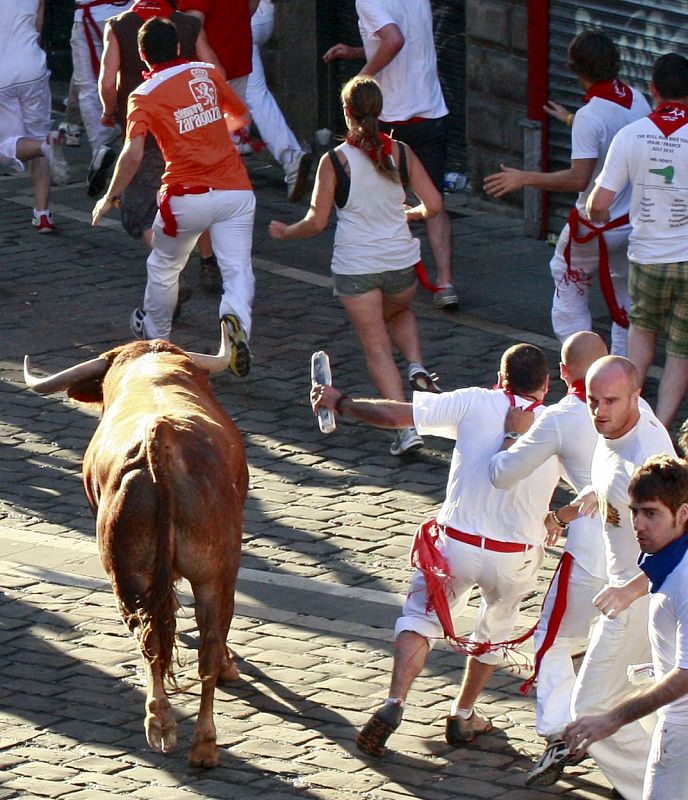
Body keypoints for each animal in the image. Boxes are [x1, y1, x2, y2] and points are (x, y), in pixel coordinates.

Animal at [24, 324, 250, 768]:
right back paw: (195, 739)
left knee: (151, 637)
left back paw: (171, 728)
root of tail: (158, 437)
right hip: (212, 572)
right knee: (201, 643)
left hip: (129, 572)